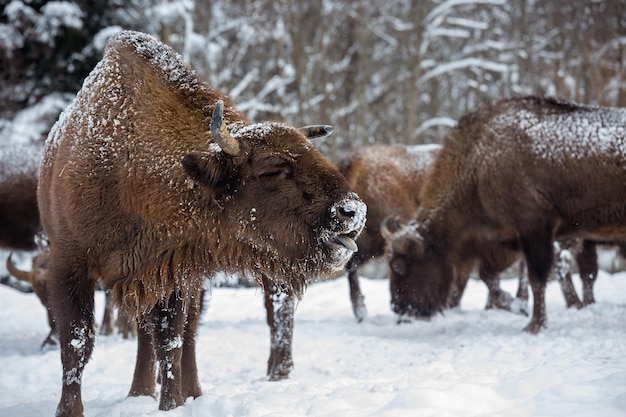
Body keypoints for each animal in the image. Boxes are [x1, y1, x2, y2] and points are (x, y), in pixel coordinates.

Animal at [37, 30, 366, 416]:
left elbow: (171, 342)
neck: (126, 166)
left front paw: (172, 405)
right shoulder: (70, 266)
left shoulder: (170, 272)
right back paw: (139, 393)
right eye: (273, 167)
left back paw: (186, 392)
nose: (351, 211)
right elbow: (76, 344)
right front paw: (69, 410)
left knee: (184, 333)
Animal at [380, 96, 624, 334]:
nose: (397, 307)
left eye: (399, 266)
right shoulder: (503, 240)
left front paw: (534, 325)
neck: (480, 161)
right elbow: (489, 276)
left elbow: (537, 277)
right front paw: (517, 307)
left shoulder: (534, 231)